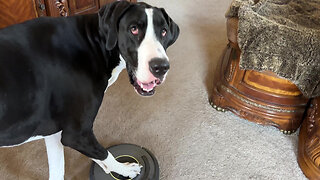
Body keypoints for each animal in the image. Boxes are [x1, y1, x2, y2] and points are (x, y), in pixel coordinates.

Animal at [0, 0, 179, 179]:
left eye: (164, 32)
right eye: (133, 29)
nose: (161, 67)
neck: (94, 43)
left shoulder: (52, 132)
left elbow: (58, 168)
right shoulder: (77, 135)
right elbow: (103, 153)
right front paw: (124, 169)